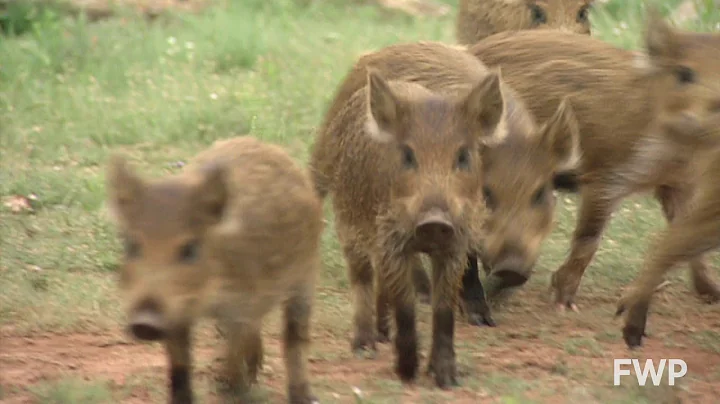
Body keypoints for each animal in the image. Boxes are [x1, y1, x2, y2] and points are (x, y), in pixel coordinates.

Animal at [106, 136, 324, 404]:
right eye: (132, 245)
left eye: (190, 249)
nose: (144, 324)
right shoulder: (177, 314)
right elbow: (180, 367)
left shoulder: (247, 300)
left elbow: (237, 344)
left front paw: (232, 388)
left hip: (306, 276)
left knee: (295, 337)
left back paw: (300, 395)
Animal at [309, 41, 581, 328]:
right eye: (486, 193)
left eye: (540, 193)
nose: (511, 267)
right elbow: (467, 263)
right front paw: (479, 318)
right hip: (326, 153)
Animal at [467, 7, 720, 312]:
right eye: (684, 74)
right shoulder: (604, 176)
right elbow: (588, 240)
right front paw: (563, 303)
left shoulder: (675, 184)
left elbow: (686, 237)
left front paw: (713, 293)